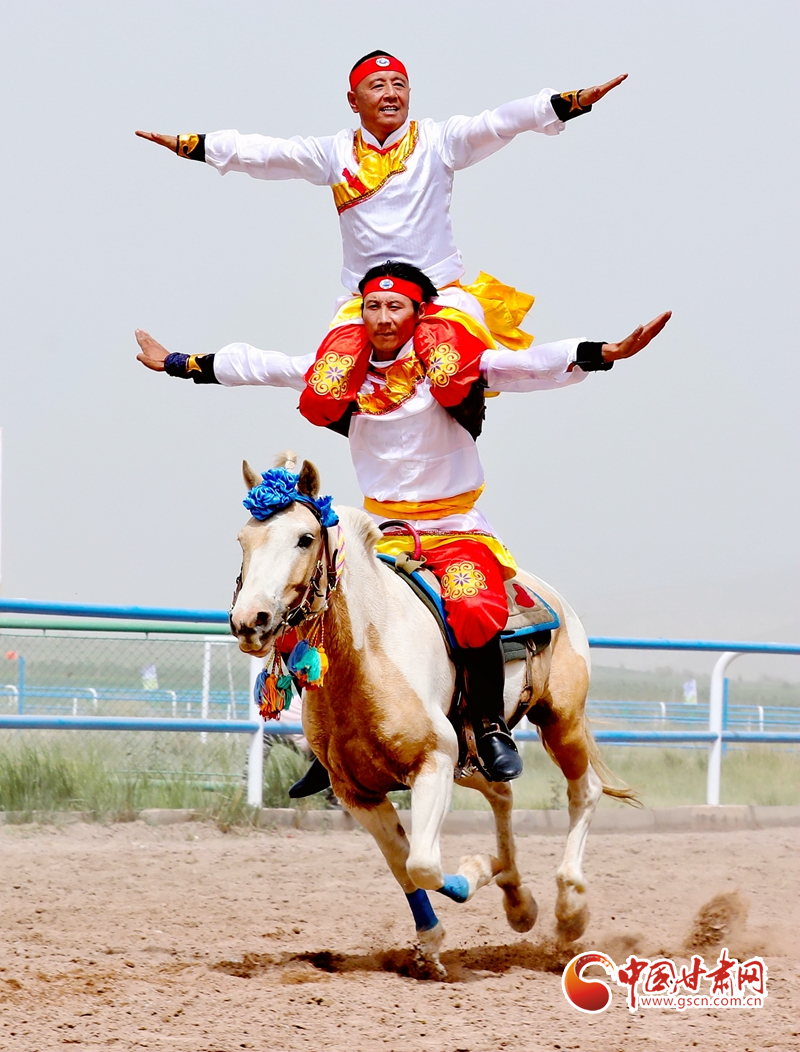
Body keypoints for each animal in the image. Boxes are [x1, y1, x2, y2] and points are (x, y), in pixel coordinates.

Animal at [230, 454, 637, 979]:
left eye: (304, 537)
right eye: (243, 540)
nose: (250, 620)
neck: (369, 656)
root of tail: (550, 596)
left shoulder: (433, 764)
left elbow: (423, 863)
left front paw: (475, 871)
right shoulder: (357, 792)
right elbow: (403, 864)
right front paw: (431, 942)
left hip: (559, 721)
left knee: (582, 792)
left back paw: (569, 910)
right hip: (472, 751)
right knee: (502, 793)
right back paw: (518, 900)